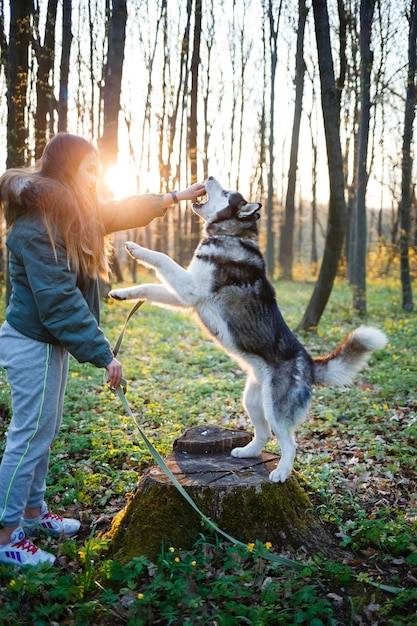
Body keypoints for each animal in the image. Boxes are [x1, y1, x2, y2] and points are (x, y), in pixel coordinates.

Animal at [110, 176, 386, 482]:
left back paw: (281, 472)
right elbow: (148, 286)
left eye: (226, 192)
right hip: (253, 400)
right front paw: (122, 293)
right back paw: (247, 452)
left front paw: (137, 249)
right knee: (263, 434)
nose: (208, 178)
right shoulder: (186, 296)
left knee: (289, 442)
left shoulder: (191, 289)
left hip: (275, 409)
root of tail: (309, 362)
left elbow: (162, 258)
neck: (232, 235)